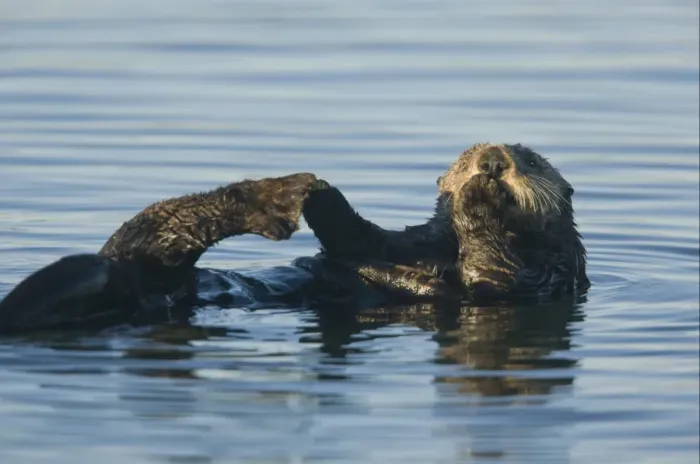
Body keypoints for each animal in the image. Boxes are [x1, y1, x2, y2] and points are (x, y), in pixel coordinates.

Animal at [301, 143, 590, 302]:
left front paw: (479, 194)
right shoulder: (419, 240)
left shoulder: (548, 270)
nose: (492, 162)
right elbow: (370, 240)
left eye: (531, 162)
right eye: (464, 161)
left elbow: (492, 275)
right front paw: (320, 193)